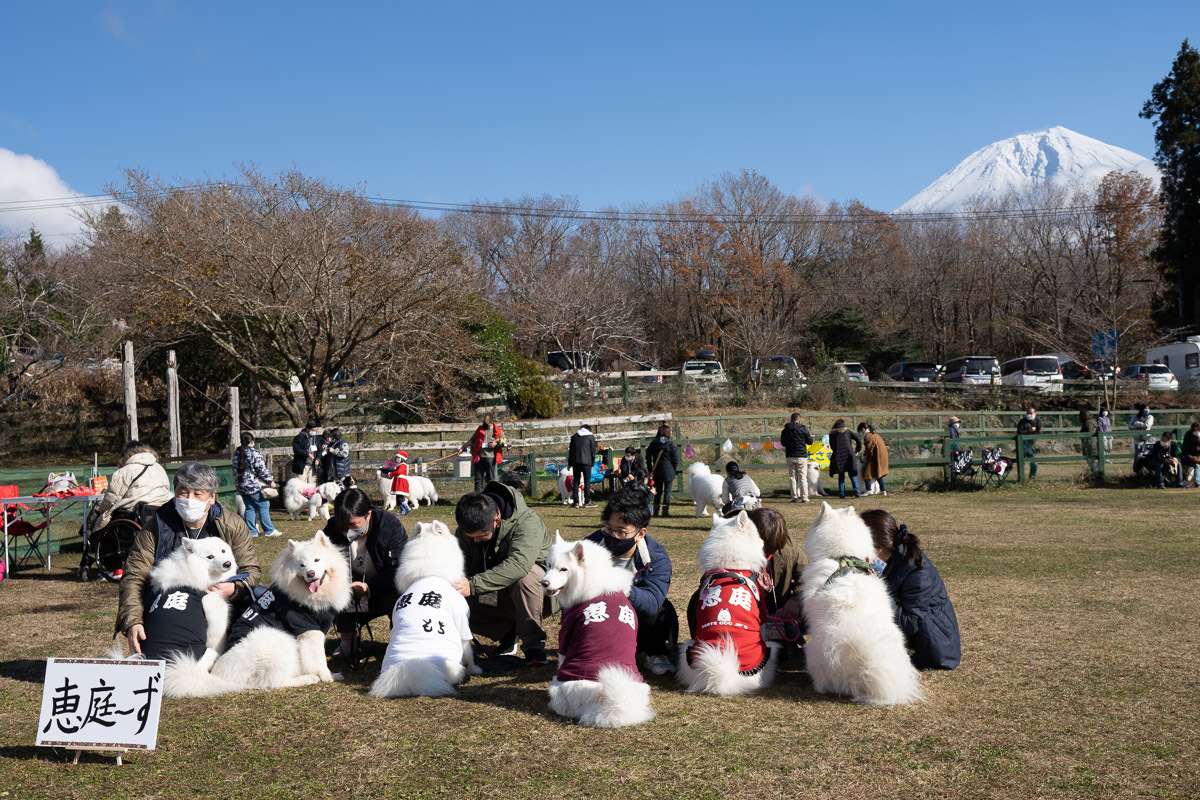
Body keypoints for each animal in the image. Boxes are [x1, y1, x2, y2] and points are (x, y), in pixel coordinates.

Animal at [166, 532, 350, 695]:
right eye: (302, 565)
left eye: (317, 560)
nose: (310, 574)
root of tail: (219, 675)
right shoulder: (309, 630)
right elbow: (318, 659)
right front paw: (329, 677)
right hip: (278, 640)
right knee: (273, 683)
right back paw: (307, 678)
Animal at [367, 522, 480, 695]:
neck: (428, 573)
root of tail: (412, 668)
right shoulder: (462, 622)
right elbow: (469, 651)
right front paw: (475, 669)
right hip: (453, 666)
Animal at [544, 534, 657, 729]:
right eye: (549, 565)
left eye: (563, 569)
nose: (543, 583)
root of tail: (607, 701)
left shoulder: (566, 634)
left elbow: (561, 656)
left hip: (558, 685)